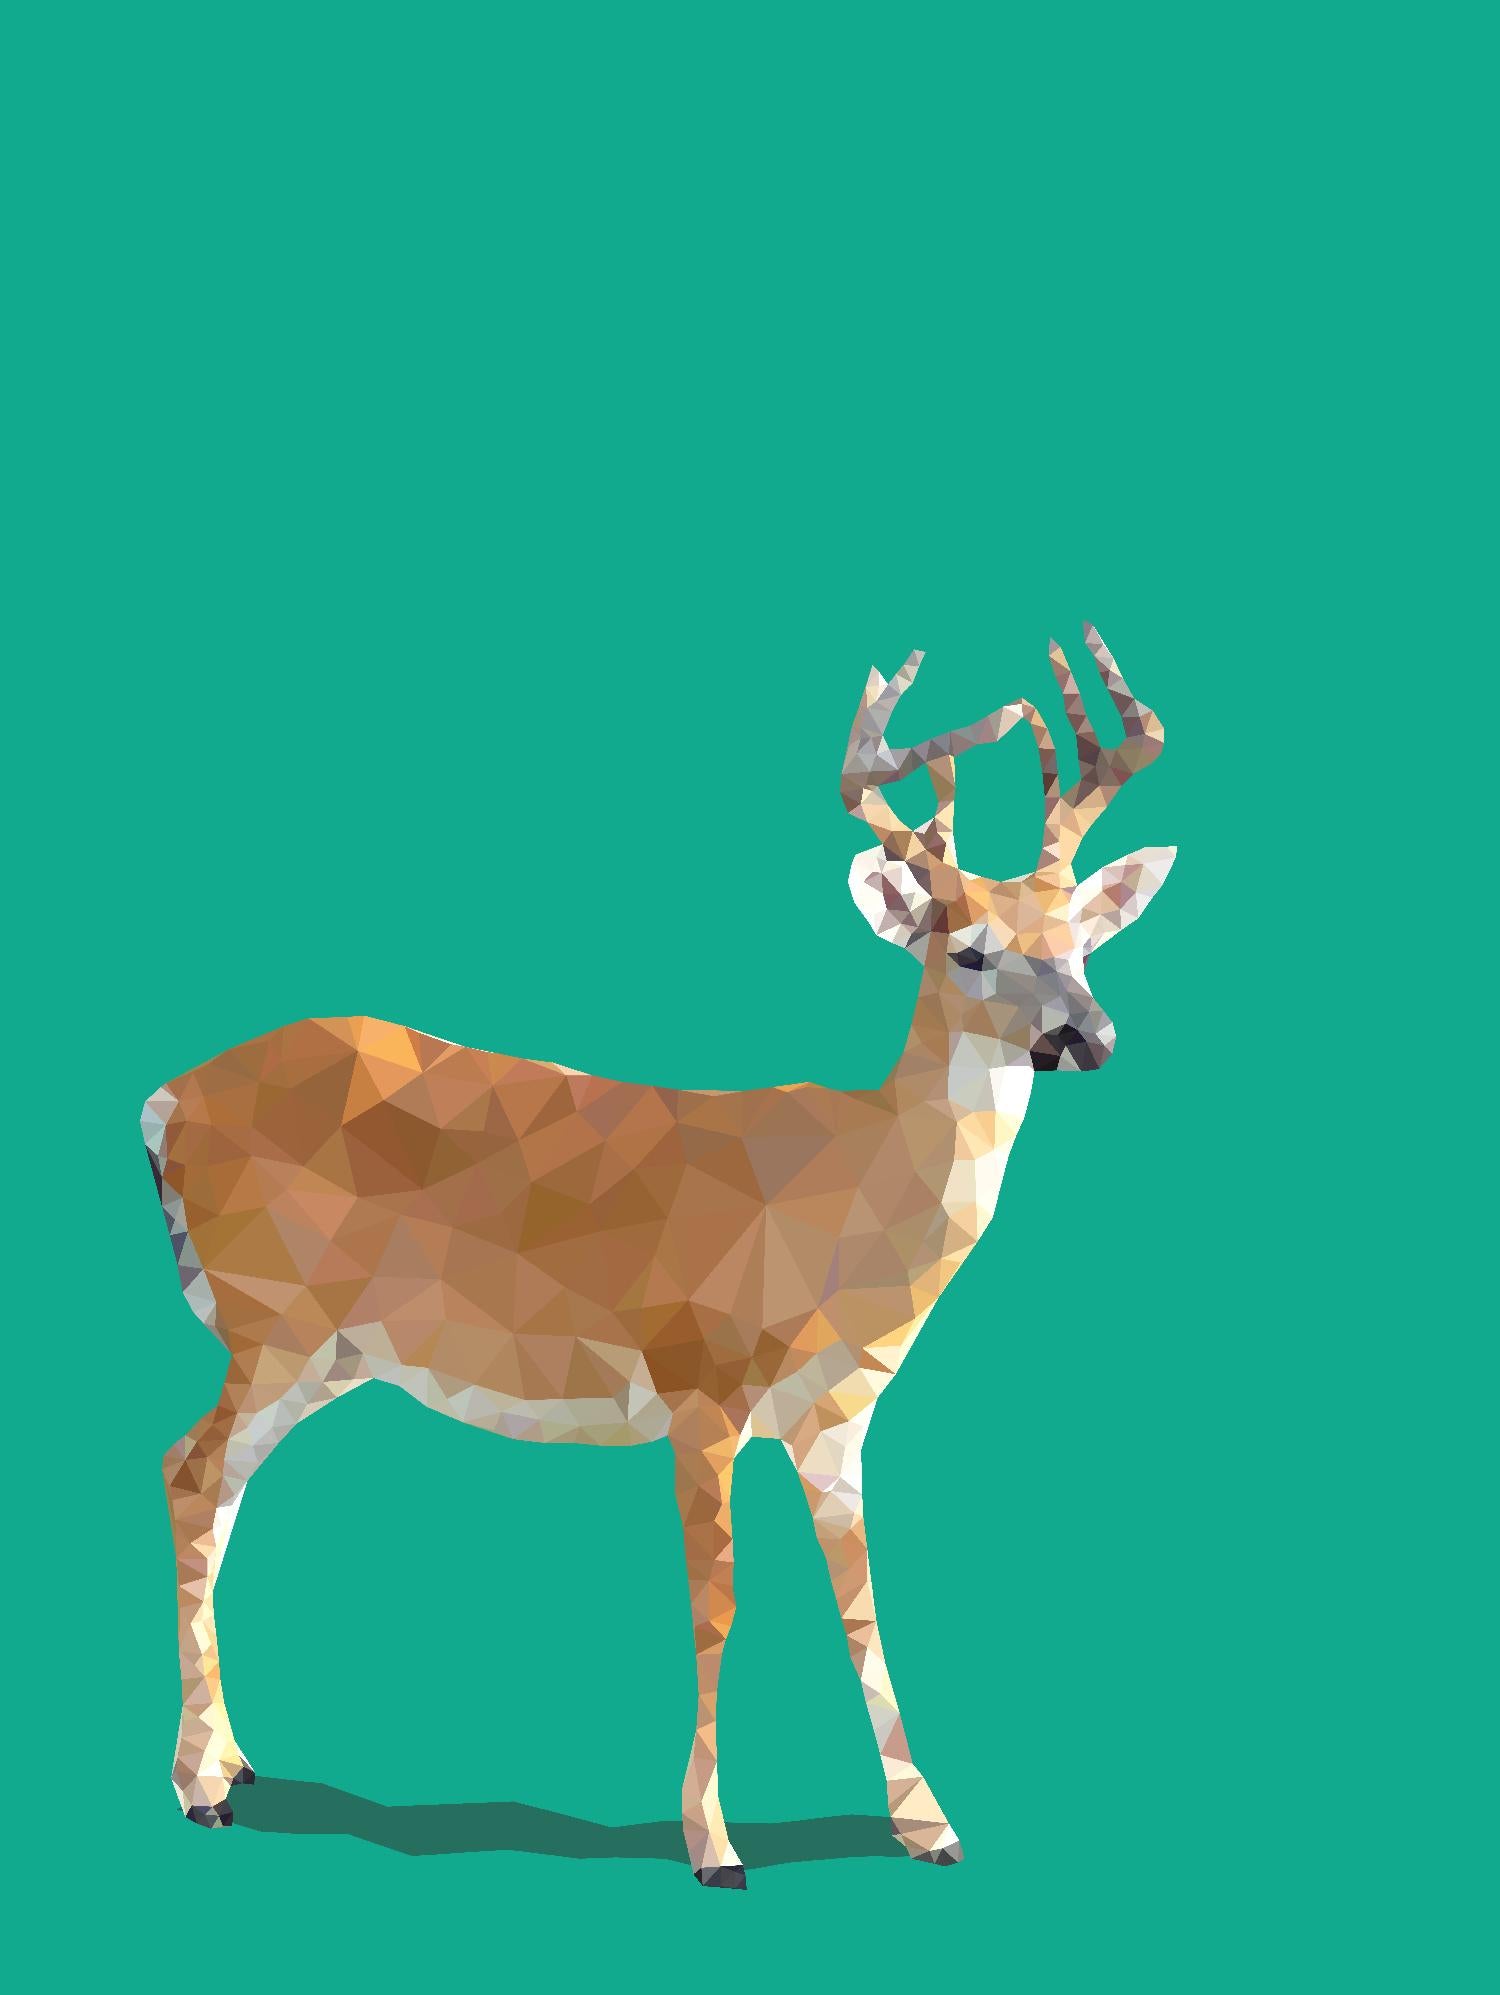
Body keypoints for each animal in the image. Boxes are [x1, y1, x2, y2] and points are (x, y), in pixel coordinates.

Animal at [146, 624, 1174, 1888]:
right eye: (972, 953)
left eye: (1082, 943)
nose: (1090, 1036)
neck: (845, 1216)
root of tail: (160, 1102)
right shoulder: (701, 1380)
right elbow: (717, 1606)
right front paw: (715, 1844)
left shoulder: (839, 1419)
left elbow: (862, 1603)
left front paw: (930, 1823)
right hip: (272, 1316)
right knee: (189, 1474)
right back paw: (197, 1787)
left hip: (325, 1350)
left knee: (219, 1485)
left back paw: (234, 1762)